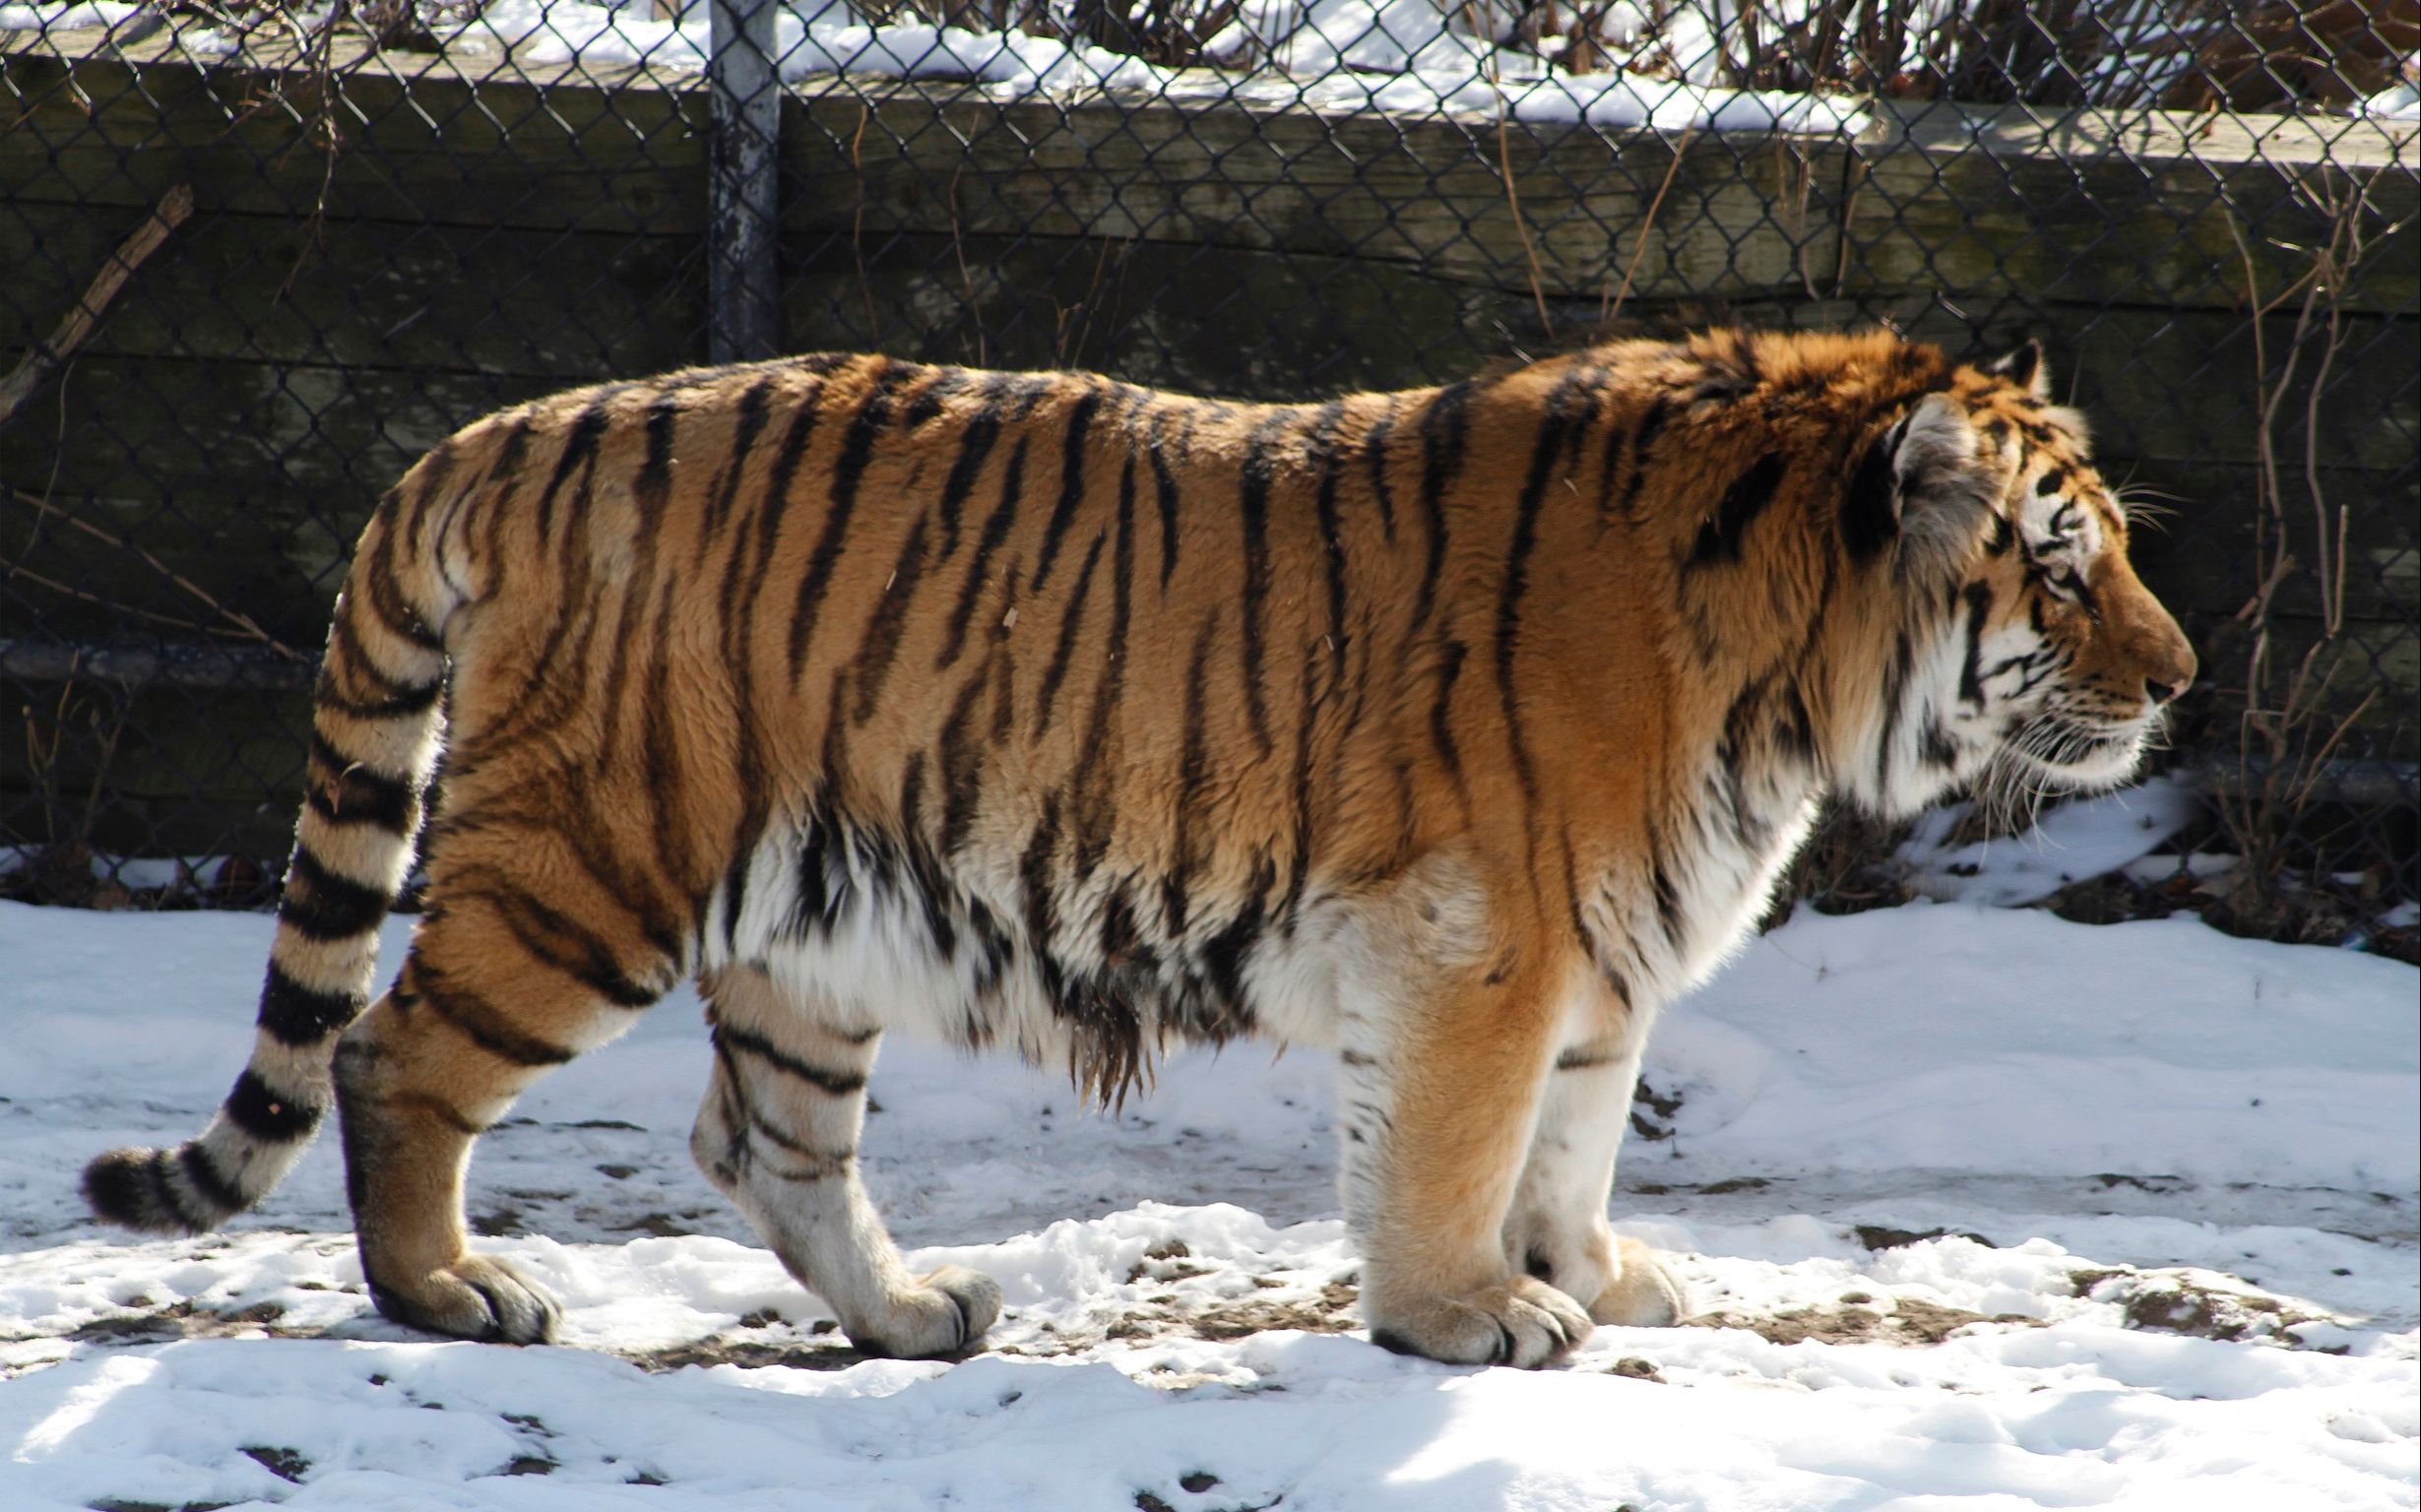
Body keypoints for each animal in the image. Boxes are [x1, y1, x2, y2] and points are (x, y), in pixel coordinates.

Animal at [84, 327, 2194, 1368]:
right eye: (2060, 565)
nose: (2177, 676)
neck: (1780, 678)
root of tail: (504, 430)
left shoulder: (1601, 958)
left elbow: (1571, 1135)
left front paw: (1587, 1273)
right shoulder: (1484, 940)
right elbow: (1449, 1148)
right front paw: (1464, 1318)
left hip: (813, 928)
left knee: (762, 1141)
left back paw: (913, 1316)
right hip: (593, 860)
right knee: (391, 1053)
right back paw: (449, 1296)